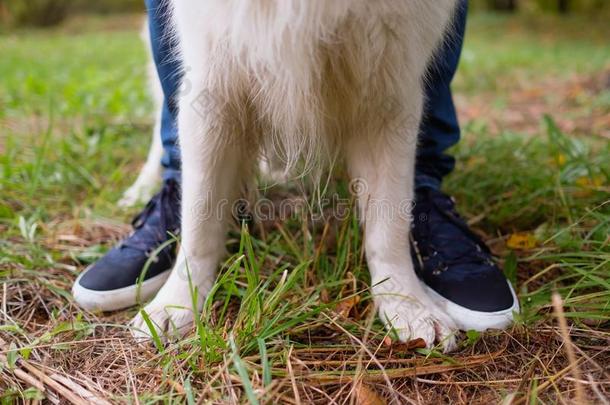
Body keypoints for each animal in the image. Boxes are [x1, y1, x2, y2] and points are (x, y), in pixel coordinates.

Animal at [131, 0, 458, 350]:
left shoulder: (391, 91)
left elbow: (389, 224)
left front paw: (408, 304)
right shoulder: (211, 84)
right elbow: (199, 219)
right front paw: (176, 303)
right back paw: (141, 188)